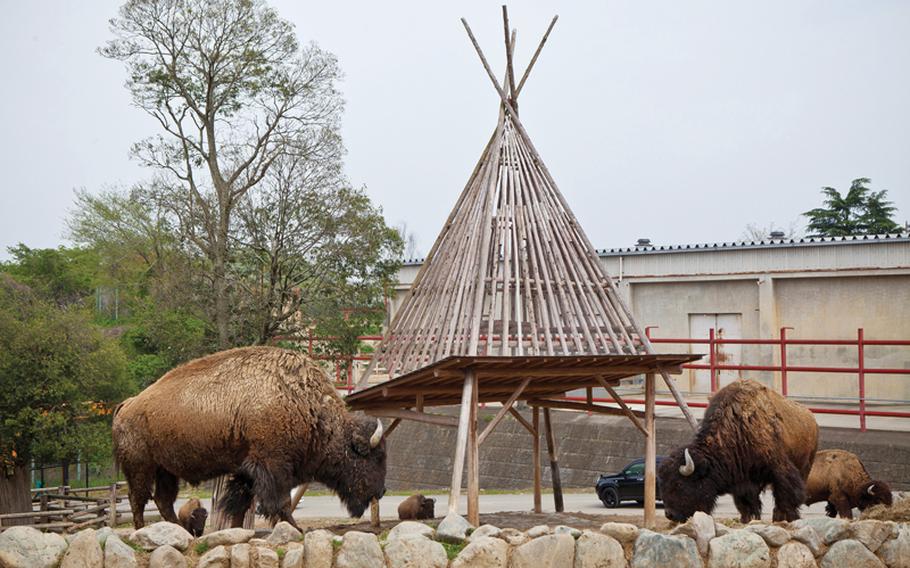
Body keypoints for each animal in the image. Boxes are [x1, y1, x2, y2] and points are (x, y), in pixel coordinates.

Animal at [112, 346, 386, 528]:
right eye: (370, 457)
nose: (382, 491)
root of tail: (128, 404)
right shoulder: (272, 466)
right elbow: (279, 502)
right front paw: (295, 529)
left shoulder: (246, 472)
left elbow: (239, 504)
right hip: (141, 467)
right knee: (138, 498)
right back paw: (142, 530)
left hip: (165, 470)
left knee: (163, 500)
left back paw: (181, 531)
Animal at [656, 380, 820, 520]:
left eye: (679, 484)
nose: (669, 514)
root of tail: (811, 418)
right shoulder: (742, 482)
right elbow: (746, 504)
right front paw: (748, 519)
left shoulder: (779, 469)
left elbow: (786, 497)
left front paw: (787, 517)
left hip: (805, 466)